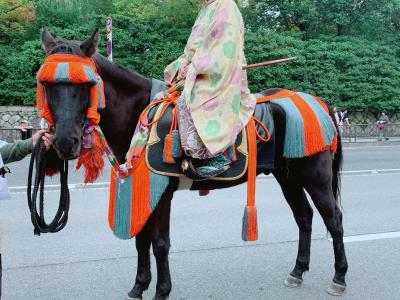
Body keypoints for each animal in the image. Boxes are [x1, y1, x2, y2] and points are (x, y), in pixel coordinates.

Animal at [39, 28, 346, 300]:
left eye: (88, 85)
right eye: (46, 85)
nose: (65, 142)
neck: (139, 114)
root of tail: (320, 106)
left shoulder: (162, 192)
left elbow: (159, 244)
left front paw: (162, 290)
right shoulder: (143, 190)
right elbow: (141, 241)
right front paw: (139, 286)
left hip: (315, 177)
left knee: (334, 220)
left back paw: (339, 277)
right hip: (289, 176)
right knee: (304, 217)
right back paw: (298, 271)